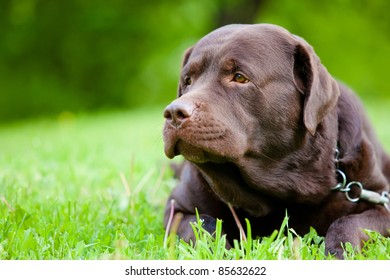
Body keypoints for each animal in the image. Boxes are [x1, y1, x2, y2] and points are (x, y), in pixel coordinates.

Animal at [161, 24, 390, 258]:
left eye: (240, 77)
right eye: (188, 81)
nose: (174, 113)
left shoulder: (378, 202)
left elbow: (349, 223)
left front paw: (337, 253)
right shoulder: (177, 208)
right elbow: (203, 226)